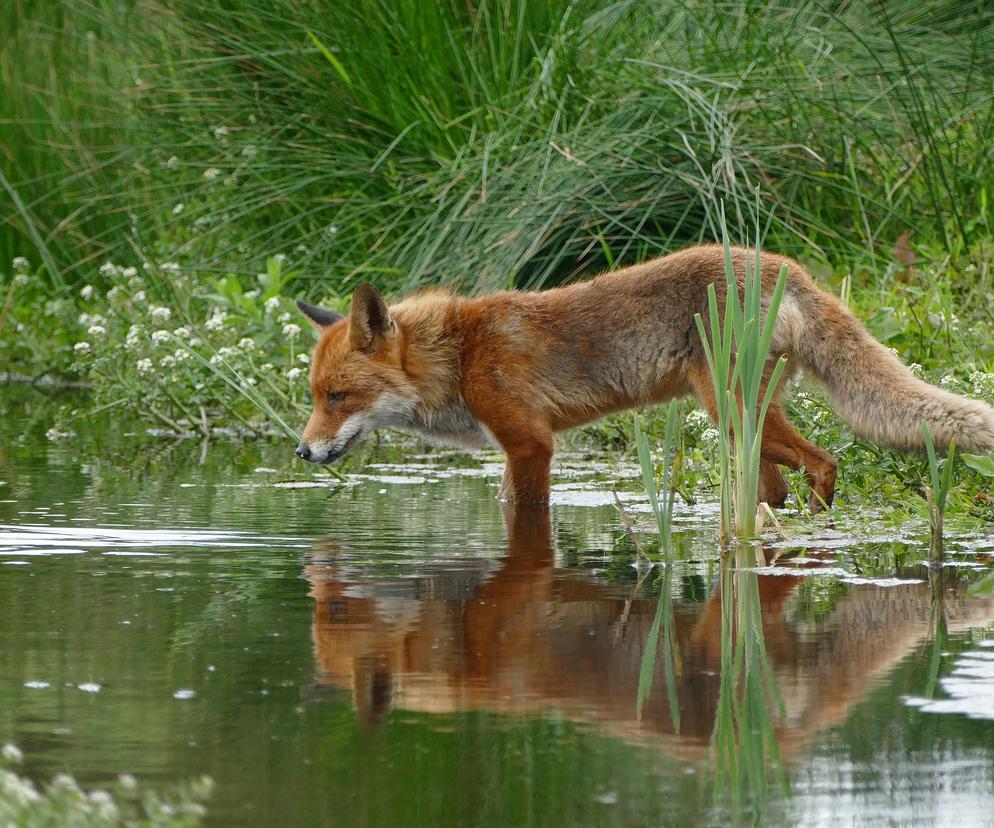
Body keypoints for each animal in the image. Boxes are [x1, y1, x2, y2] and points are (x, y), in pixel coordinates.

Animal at [292, 244, 992, 512]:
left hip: (732, 411)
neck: (458, 356)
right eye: (315, 398)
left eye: (339, 397)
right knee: (774, 488)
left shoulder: (530, 445)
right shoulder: (519, 447)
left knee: (824, 463)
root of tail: (787, 267)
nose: (301, 451)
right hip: (743, 425)